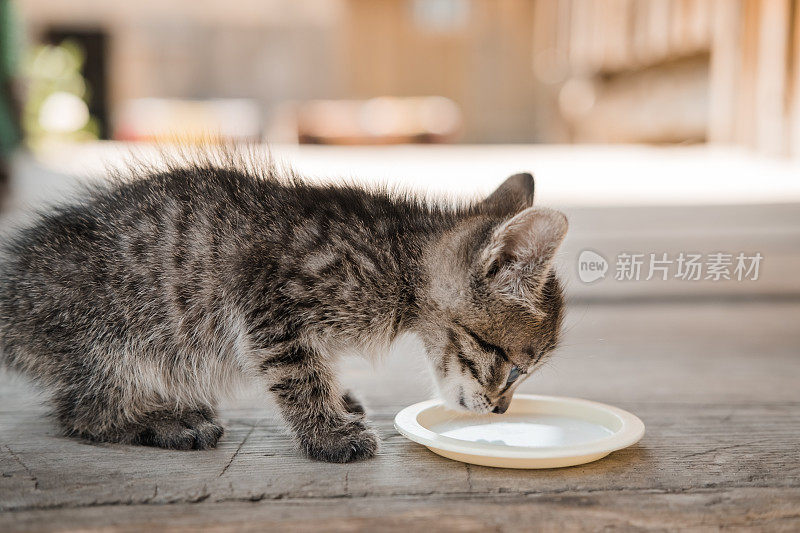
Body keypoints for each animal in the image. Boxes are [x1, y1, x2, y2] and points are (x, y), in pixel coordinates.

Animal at [0, 154, 564, 462]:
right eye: (515, 370)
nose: (502, 410)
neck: (401, 260)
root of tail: (15, 293)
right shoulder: (268, 295)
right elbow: (298, 374)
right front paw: (328, 434)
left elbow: (319, 365)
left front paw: (338, 400)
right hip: (111, 341)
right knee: (85, 412)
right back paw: (165, 421)